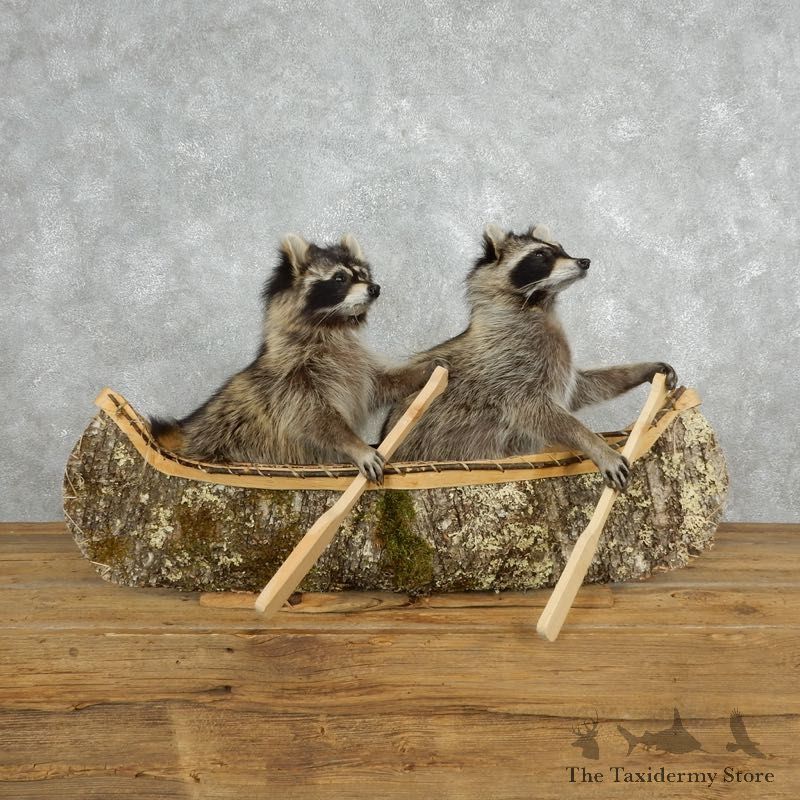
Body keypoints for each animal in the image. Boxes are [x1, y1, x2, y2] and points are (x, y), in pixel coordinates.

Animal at [151, 233, 436, 483]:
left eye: (363, 275)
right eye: (340, 278)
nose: (375, 288)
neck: (332, 326)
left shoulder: (356, 363)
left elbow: (379, 383)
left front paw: (421, 372)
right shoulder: (292, 380)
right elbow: (316, 420)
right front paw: (355, 445)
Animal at [384, 223, 677, 490]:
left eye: (562, 249)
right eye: (540, 255)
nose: (584, 261)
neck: (540, 305)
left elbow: (583, 388)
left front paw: (640, 369)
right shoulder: (508, 367)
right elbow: (539, 411)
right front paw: (594, 443)